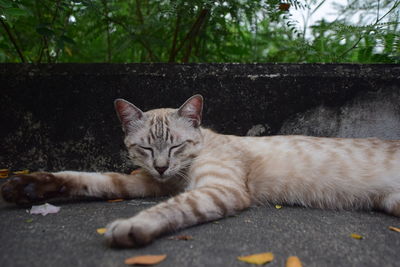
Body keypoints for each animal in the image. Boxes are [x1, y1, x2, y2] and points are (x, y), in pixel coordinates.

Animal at [0, 95, 400, 248]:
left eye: (176, 146)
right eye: (146, 149)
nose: (162, 167)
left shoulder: (218, 190)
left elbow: (173, 208)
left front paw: (133, 227)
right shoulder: (143, 182)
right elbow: (89, 180)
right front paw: (28, 187)